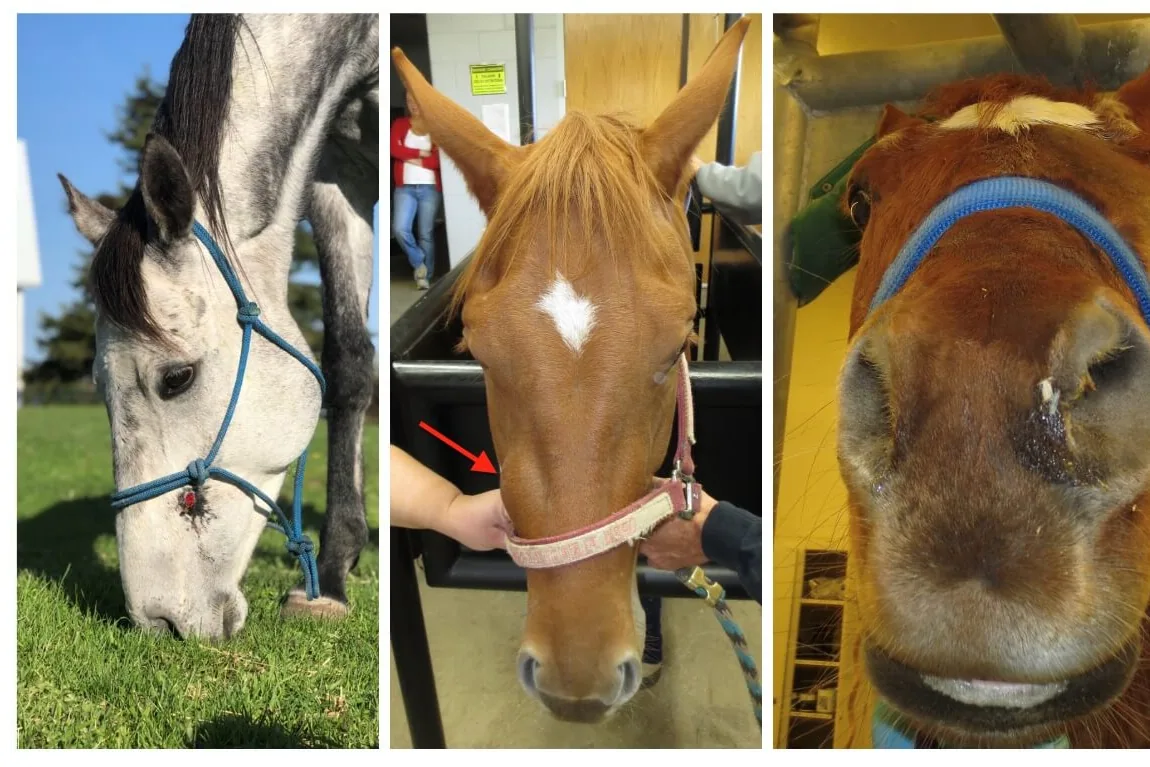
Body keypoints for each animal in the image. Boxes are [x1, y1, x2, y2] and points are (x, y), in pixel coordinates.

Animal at [57, 14, 379, 640]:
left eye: (177, 378)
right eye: (98, 387)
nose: (157, 620)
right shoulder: (337, 166)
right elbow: (350, 359)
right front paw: (337, 568)